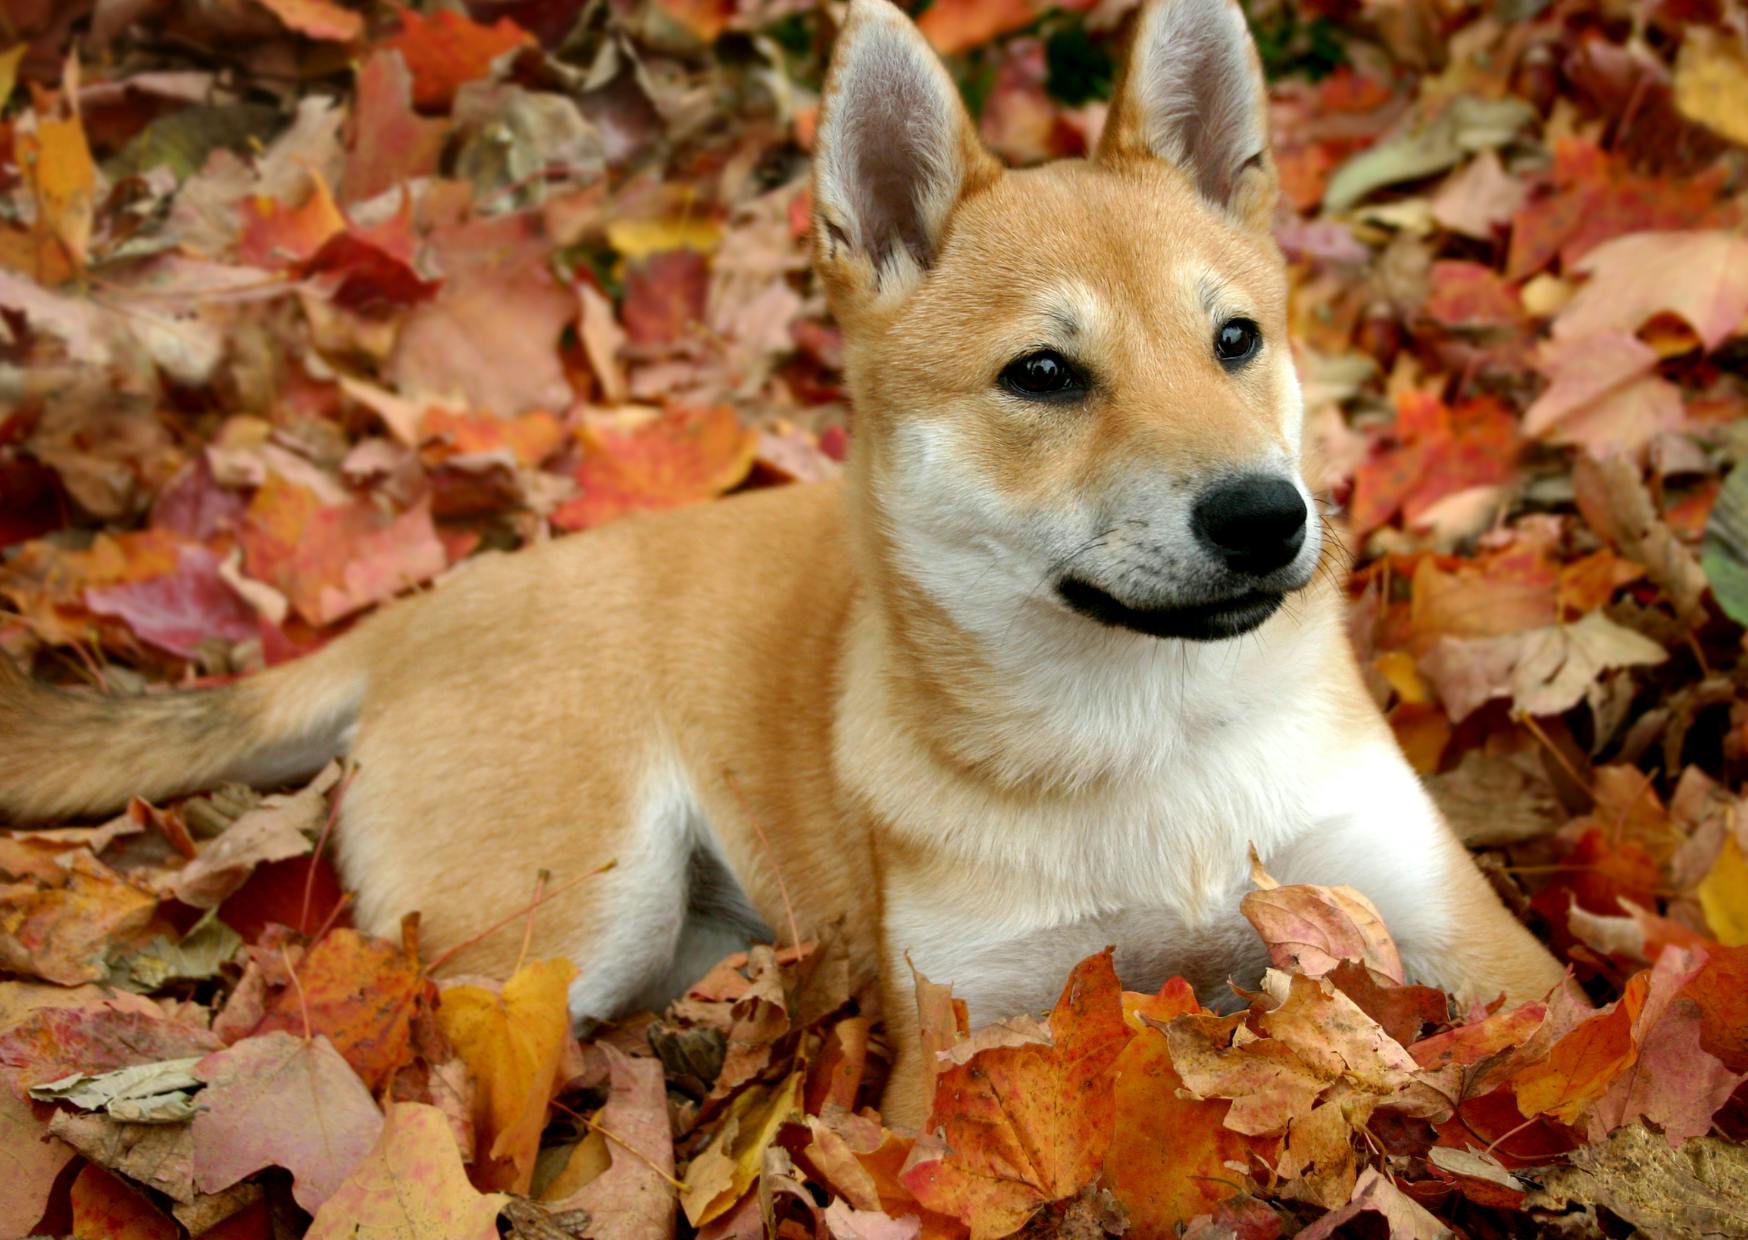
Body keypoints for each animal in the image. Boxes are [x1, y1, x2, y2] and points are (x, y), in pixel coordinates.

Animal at [0, 0, 1559, 1126]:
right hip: (583, 917)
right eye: (1044, 375)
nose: (1263, 518)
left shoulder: (1475, 954)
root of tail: (416, 614)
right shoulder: (959, 1052)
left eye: (1235, 339)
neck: (1150, 735)